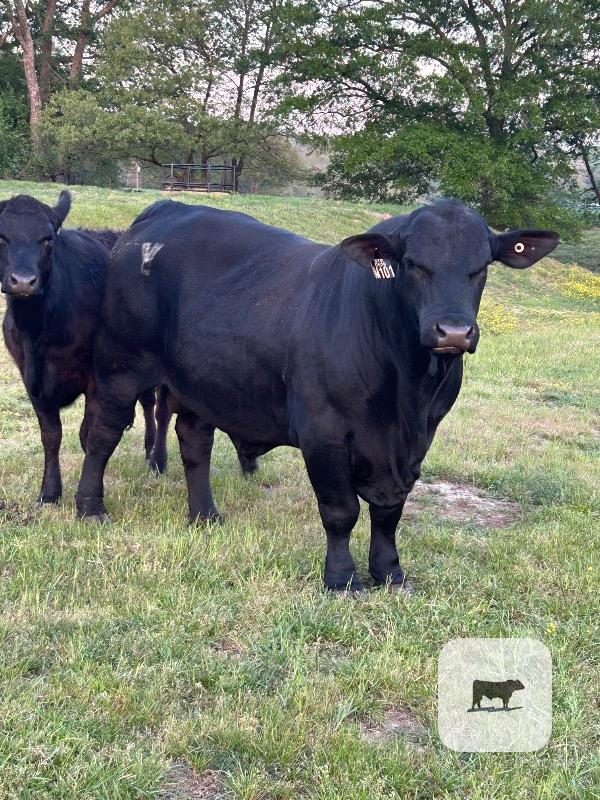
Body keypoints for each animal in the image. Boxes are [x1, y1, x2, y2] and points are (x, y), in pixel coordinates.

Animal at [0, 191, 170, 506]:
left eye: (48, 239)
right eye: (2, 237)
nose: (23, 281)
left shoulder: (95, 377)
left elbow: (88, 433)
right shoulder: (31, 382)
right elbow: (51, 436)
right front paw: (49, 494)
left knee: (162, 410)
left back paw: (158, 461)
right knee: (147, 402)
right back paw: (148, 449)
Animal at [74, 198, 558, 590]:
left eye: (482, 266)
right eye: (413, 264)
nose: (453, 331)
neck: (407, 392)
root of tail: (161, 213)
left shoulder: (418, 441)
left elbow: (390, 512)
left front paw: (389, 573)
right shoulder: (324, 433)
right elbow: (340, 511)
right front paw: (342, 578)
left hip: (202, 383)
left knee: (195, 443)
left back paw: (205, 516)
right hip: (121, 364)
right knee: (102, 436)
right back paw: (90, 508)